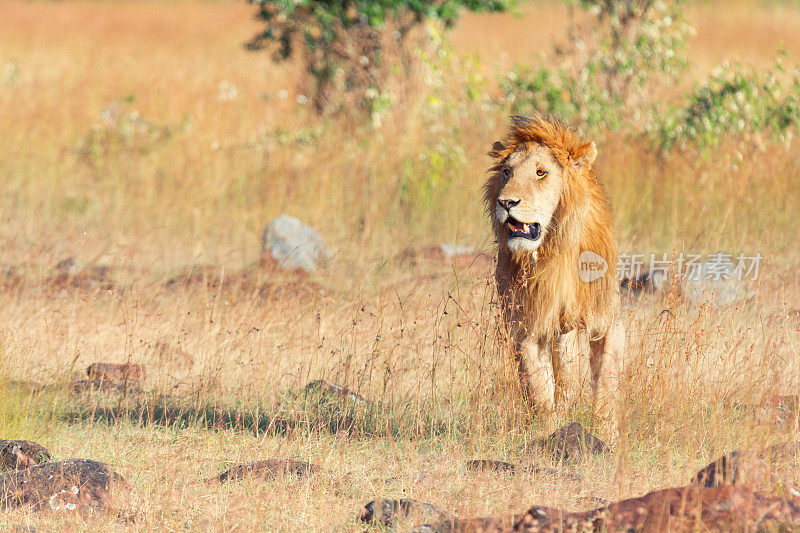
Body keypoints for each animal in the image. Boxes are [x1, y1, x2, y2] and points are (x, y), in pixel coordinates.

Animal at [488, 114, 624, 434]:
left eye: (541, 173)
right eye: (506, 172)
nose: (506, 202)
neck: (548, 254)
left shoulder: (592, 319)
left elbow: (593, 378)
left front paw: (600, 429)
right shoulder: (524, 322)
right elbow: (537, 383)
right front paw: (547, 428)